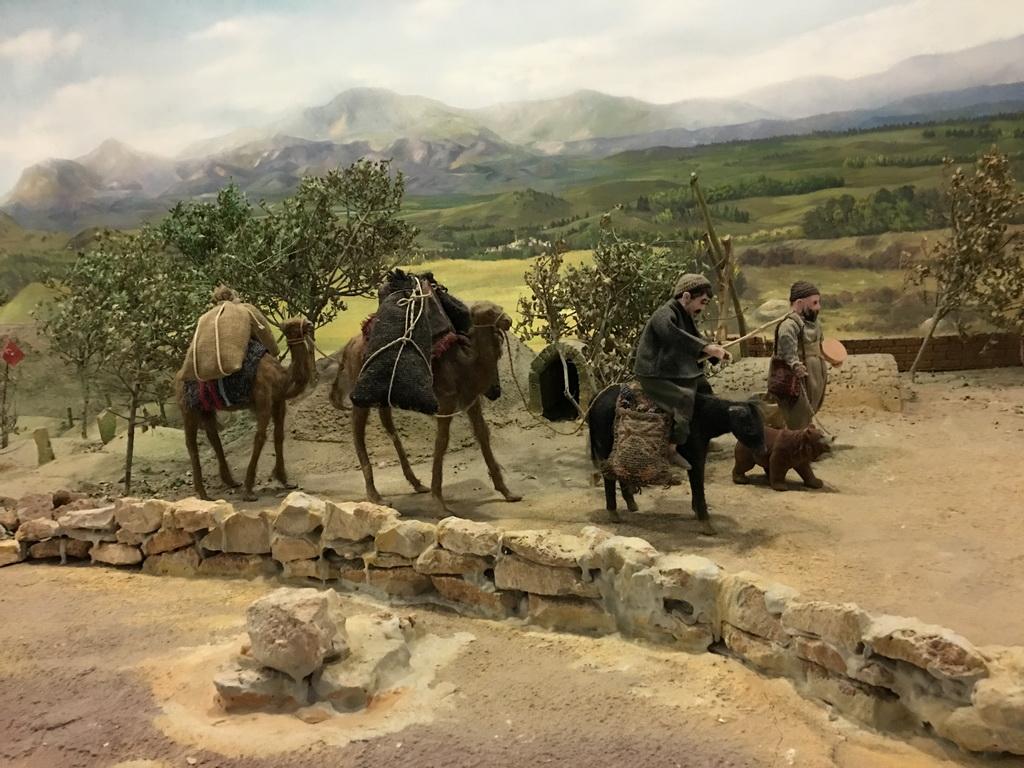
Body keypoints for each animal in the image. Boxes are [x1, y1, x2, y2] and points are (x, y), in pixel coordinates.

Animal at [176, 317, 315, 501]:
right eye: (291, 325)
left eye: (303, 320)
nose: (310, 324)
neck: (281, 378)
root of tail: (178, 376)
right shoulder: (263, 399)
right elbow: (260, 438)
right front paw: (249, 490)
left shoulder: (278, 400)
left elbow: (279, 436)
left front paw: (285, 480)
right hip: (188, 407)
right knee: (191, 442)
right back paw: (204, 494)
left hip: (206, 408)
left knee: (213, 436)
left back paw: (231, 482)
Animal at [330, 300, 521, 514]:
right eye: (489, 311)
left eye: (498, 308)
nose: (508, 320)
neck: (465, 363)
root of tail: (349, 346)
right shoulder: (446, 400)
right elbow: (442, 441)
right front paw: (440, 505)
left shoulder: (470, 398)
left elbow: (482, 434)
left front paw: (508, 493)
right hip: (362, 388)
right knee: (358, 432)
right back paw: (376, 497)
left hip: (383, 392)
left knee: (387, 424)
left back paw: (417, 484)